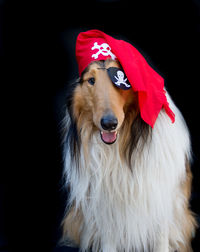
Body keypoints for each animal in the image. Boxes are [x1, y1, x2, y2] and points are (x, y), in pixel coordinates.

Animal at [61, 57, 196, 252]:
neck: (123, 146)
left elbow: (160, 238)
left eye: (121, 80)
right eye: (91, 80)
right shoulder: (106, 207)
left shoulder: (161, 198)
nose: (109, 124)